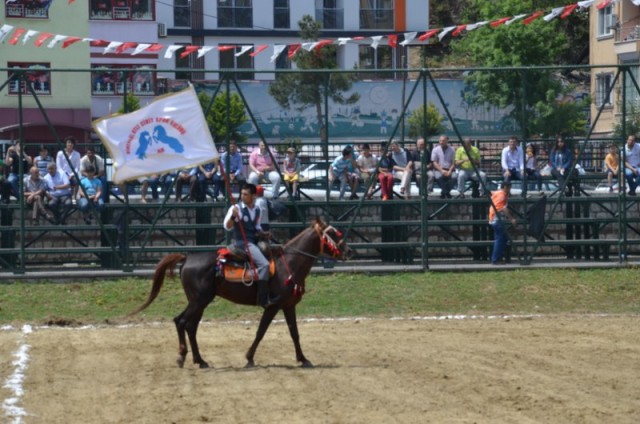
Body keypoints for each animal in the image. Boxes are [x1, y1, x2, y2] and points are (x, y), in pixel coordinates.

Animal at [128, 219, 352, 368]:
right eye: (333, 234)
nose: (348, 251)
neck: (287, 264)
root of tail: (187, 259)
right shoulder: (273, 305)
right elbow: (261, 331)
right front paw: (249, 357)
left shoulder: (288, 306)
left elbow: (294, 333)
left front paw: (303, 359)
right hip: (198, 301)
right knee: (180, 321)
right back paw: (182, 357)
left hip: (200, 302)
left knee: (191, 327)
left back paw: (200, 360)